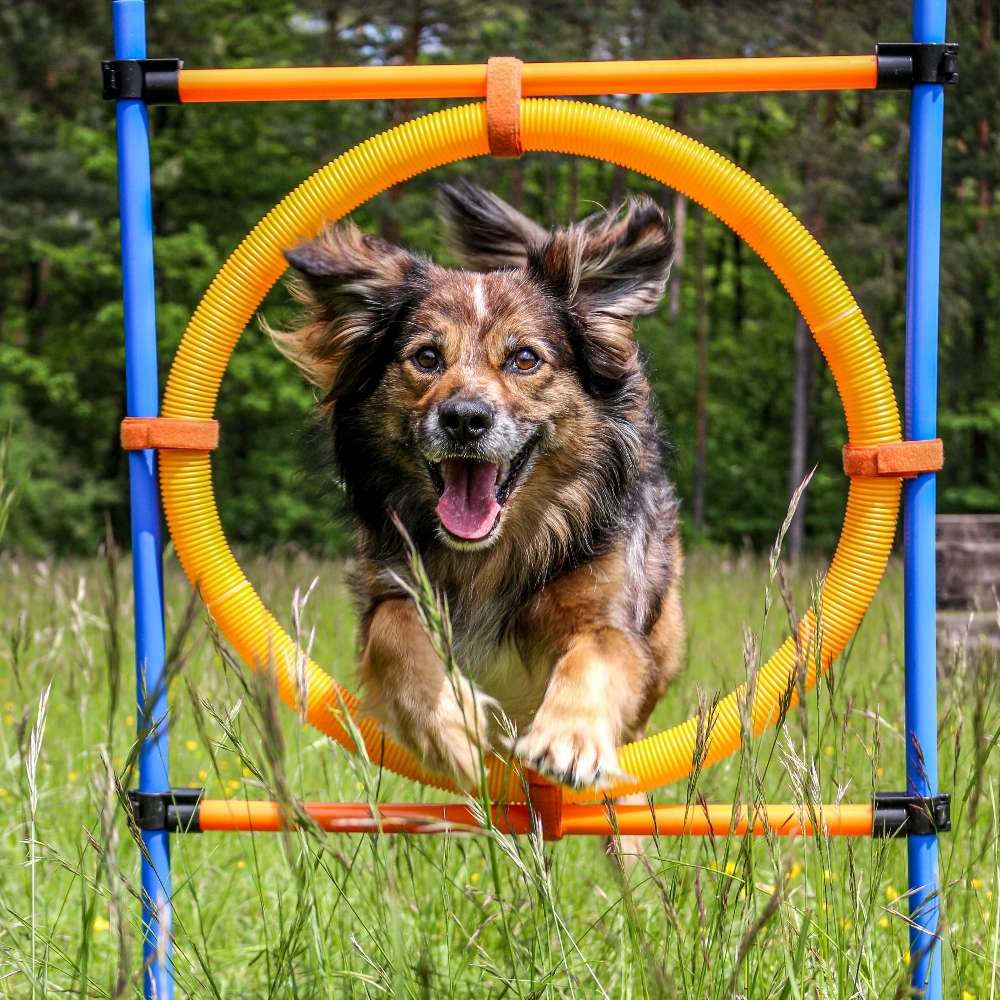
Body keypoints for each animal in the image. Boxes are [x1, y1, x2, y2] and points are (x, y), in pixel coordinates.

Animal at [270, 180, 684, 788]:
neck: (491, 557)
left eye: (524, 358)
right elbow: (396, 630)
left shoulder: (611, 618)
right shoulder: (392, 586)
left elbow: (595, 655)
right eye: (426, 357)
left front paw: (569, 738)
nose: (464, 419)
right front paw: (449, 728)